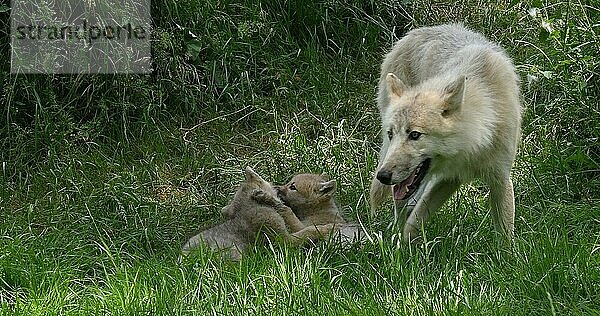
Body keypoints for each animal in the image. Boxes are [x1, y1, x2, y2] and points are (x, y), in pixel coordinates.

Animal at [368, 24, 524, 242]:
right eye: (392, 134)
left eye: (414, 135)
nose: (382, 175)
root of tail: (413, 33)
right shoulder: (448, 178)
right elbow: (412, 223)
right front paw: (402, 249)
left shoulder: (496, 178)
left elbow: (505, 236)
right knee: (401, 208)